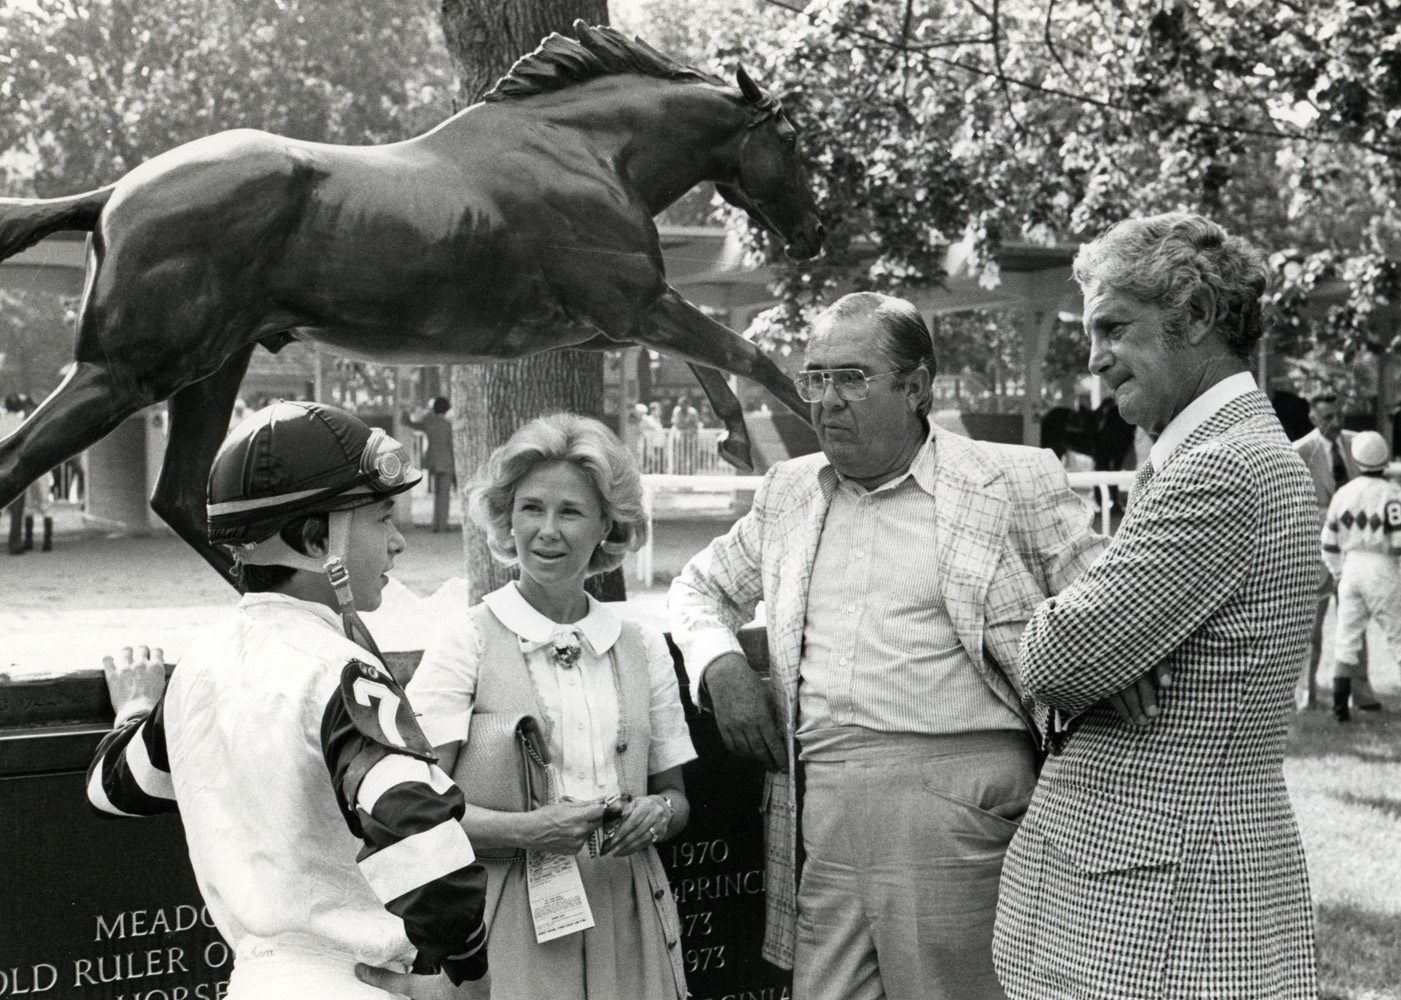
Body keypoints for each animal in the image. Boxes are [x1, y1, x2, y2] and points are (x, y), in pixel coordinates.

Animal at [0, 23, 823, 577]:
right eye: (790, 139)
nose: (812, 235)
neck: (585, 150)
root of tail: (113, 195)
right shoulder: (633, 306)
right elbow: (753, 356)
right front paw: (816, 441)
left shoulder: (598, 325)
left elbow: (718, 362)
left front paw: (737, 439)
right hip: (129, 372)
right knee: (21, 463)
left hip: (209, 369)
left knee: (179, 499)